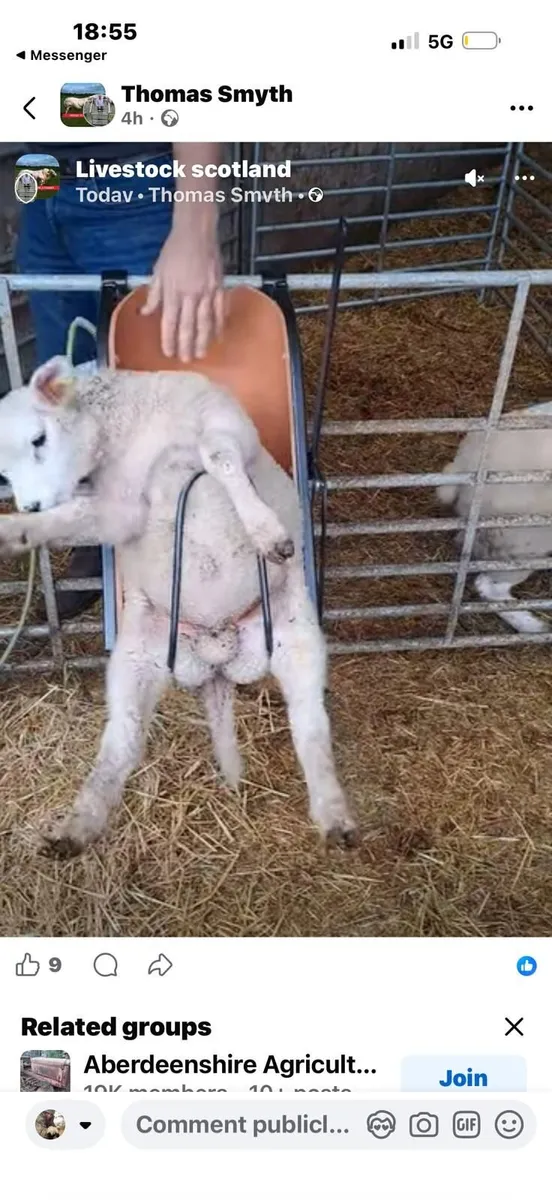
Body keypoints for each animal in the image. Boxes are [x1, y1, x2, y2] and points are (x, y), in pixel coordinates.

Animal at [0, 356, 358, 856]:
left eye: (39, 438)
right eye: (2, 474)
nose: (29, 503)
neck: (131, 434)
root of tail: (216, 654)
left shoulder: (224, 422)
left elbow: (217, 456)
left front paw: (268, 534)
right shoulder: (120, 512)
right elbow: (71, 518)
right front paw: (13, 532)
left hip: (298, 637)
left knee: (311, 730)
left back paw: (335, 817)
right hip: (135, 659)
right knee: (124, 743)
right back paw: (77, 827)